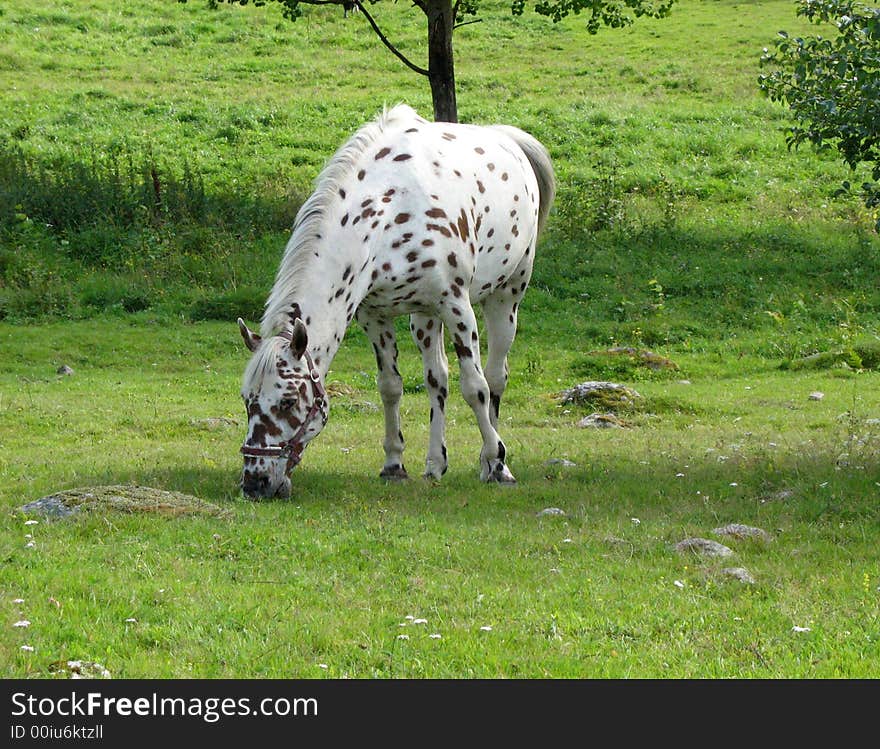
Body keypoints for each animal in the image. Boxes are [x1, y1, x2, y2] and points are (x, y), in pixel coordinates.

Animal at [234, 101, 552, 496]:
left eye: (289, 400)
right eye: (247, 400)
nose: (255, 482)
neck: (388, 210)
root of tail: (508, 138)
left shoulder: (457, 306)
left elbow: (474, 387)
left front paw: (497, 460)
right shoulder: (375, 316)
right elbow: (390, 387)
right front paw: (393, 464)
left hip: (505, 298)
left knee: (494, 378)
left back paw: (490, 462)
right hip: (424, 318)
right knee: (437, 379)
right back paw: (435, 464)